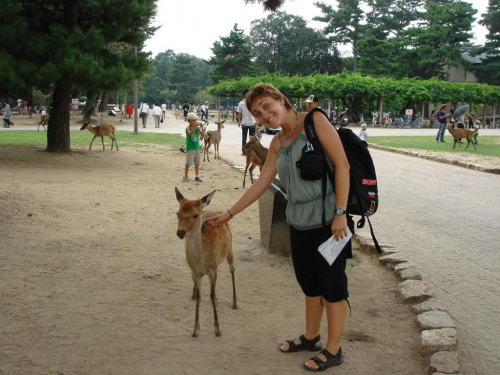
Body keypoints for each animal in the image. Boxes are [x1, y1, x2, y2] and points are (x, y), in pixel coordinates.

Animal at [175, 188, 237, 338]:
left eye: (195, 215)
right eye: (177, 214)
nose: (180, 233)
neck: (201, 261)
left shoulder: (213, 269)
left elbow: (211, 296)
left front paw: (218, 329)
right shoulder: (193, 272)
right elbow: (199, 297)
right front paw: (195, 330)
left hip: (230, 249)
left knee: (232, 268)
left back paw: (235, 302)